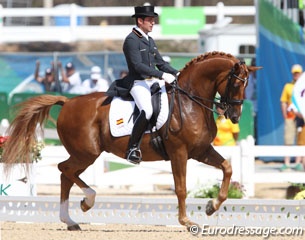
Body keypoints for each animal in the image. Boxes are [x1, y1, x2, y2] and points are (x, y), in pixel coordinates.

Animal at [1, 52, 258, 231]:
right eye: (237, 83)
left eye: (247, 84)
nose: (235, 116)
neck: (189, 102)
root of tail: (68, 102)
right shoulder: (179, 153)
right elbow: (181, 188)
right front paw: (187, 221)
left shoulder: (201, 150)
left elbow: (227, 168)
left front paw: (211, 206)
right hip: (87, 153)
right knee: (65, 169)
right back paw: (87, 202)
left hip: (85, 155)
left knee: (67, 175)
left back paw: (72, 219)